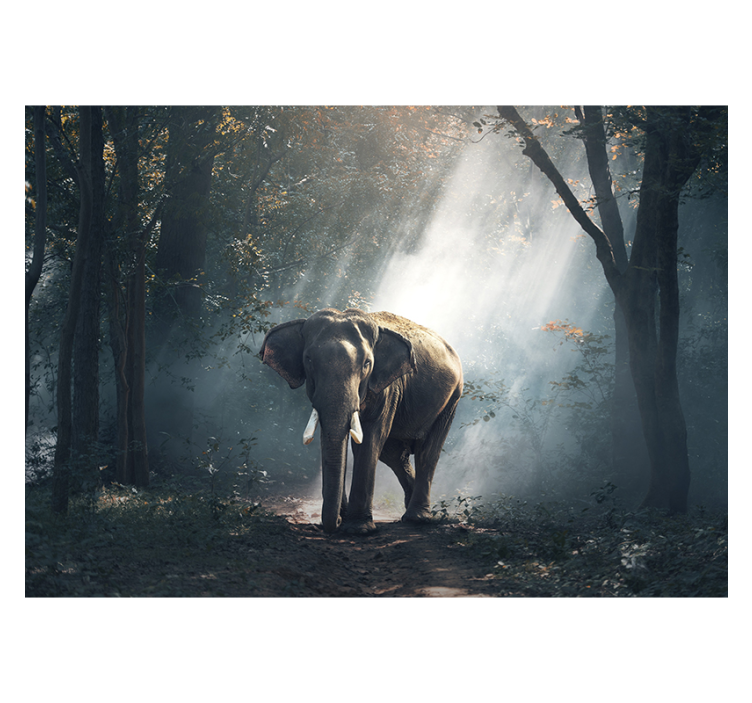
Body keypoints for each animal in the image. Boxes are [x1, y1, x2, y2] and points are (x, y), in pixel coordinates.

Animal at [259, 308, 463, 535]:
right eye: (308, 360)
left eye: (367, 364)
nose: (336, 522)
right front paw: (345, 519)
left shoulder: (387, 388)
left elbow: (370, 439)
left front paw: (358, 529)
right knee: (394, 455)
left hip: (452, 399)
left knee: (427, 452)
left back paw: (417, 518)